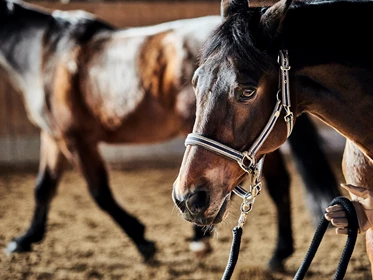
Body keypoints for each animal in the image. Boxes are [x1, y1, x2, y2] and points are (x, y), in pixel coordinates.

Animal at [0, 0, 340, 270]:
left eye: (246, 90)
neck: (45, 52)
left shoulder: (75, 139)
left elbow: (100, 193)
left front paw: (143, 242)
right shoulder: (54, 137)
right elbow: (44, 187)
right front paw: (25, 239)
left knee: (269, 186)